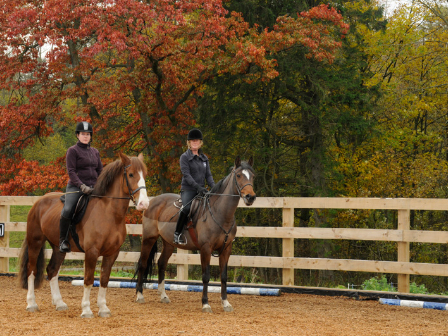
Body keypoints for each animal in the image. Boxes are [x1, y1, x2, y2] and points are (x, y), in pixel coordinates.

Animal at [18, 153, 149, 318]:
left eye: (144, 175)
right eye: (131, 174)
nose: (144, 204)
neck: (109, 213)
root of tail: (39, 202)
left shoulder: (112, 253)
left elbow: (104, 279)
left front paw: (103, 308)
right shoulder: (92, 252)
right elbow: (88, 279)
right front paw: (86, 310)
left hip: (58, 248)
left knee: (52, 270)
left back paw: (59, 303)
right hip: (35, 242)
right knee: (31, 270)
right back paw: (31, 304)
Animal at [134, 156, 256, 314]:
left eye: (252, 176)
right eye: (239, 175)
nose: (250, 197)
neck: (220, 213)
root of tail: (153, 201)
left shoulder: (226, 249)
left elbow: (223, 277)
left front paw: (226, 303)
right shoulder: (205, 249)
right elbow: (206, 277)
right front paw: (205, 304)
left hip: (168, 243)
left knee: (161, 264)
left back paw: (163, 296)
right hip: (149, 238)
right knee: (143, 263)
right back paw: (139, 295)